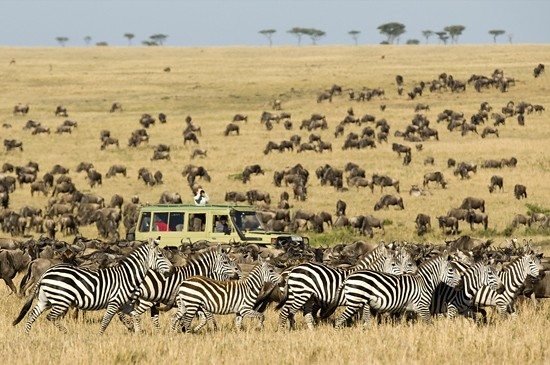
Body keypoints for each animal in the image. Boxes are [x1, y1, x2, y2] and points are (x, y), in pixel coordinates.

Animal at [12, 237, 174, 334]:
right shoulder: (114, 302)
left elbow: (135, 316)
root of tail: (47, 272)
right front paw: (100, 337)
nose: (173, 269)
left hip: (45, 299)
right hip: (61, 300)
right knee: (51, 317)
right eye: (160, 255)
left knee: (32, 315)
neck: (127, 276)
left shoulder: (124, 304)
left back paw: (27, 335)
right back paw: (66, 333)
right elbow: (106, 321)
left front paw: (137, 332)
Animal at [278, 243, 416, 328]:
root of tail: (293, 269)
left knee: (301, 313)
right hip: (300, 294)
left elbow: (363, 316)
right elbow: (366, 316)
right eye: (394, 264)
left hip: (305, 296)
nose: (405, 276)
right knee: (286, 311)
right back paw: (283, 330)